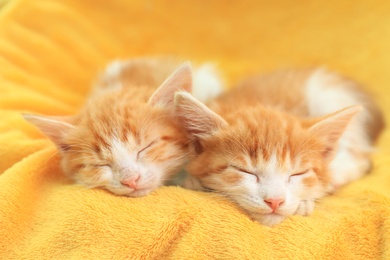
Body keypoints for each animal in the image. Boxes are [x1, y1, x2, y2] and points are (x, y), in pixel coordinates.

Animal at [174, 68, 384, 225]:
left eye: (298, 173)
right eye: (245, 171)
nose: (275, 201)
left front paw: (307, 199)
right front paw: (192, 181)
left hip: (327, 95)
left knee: (361, 159)